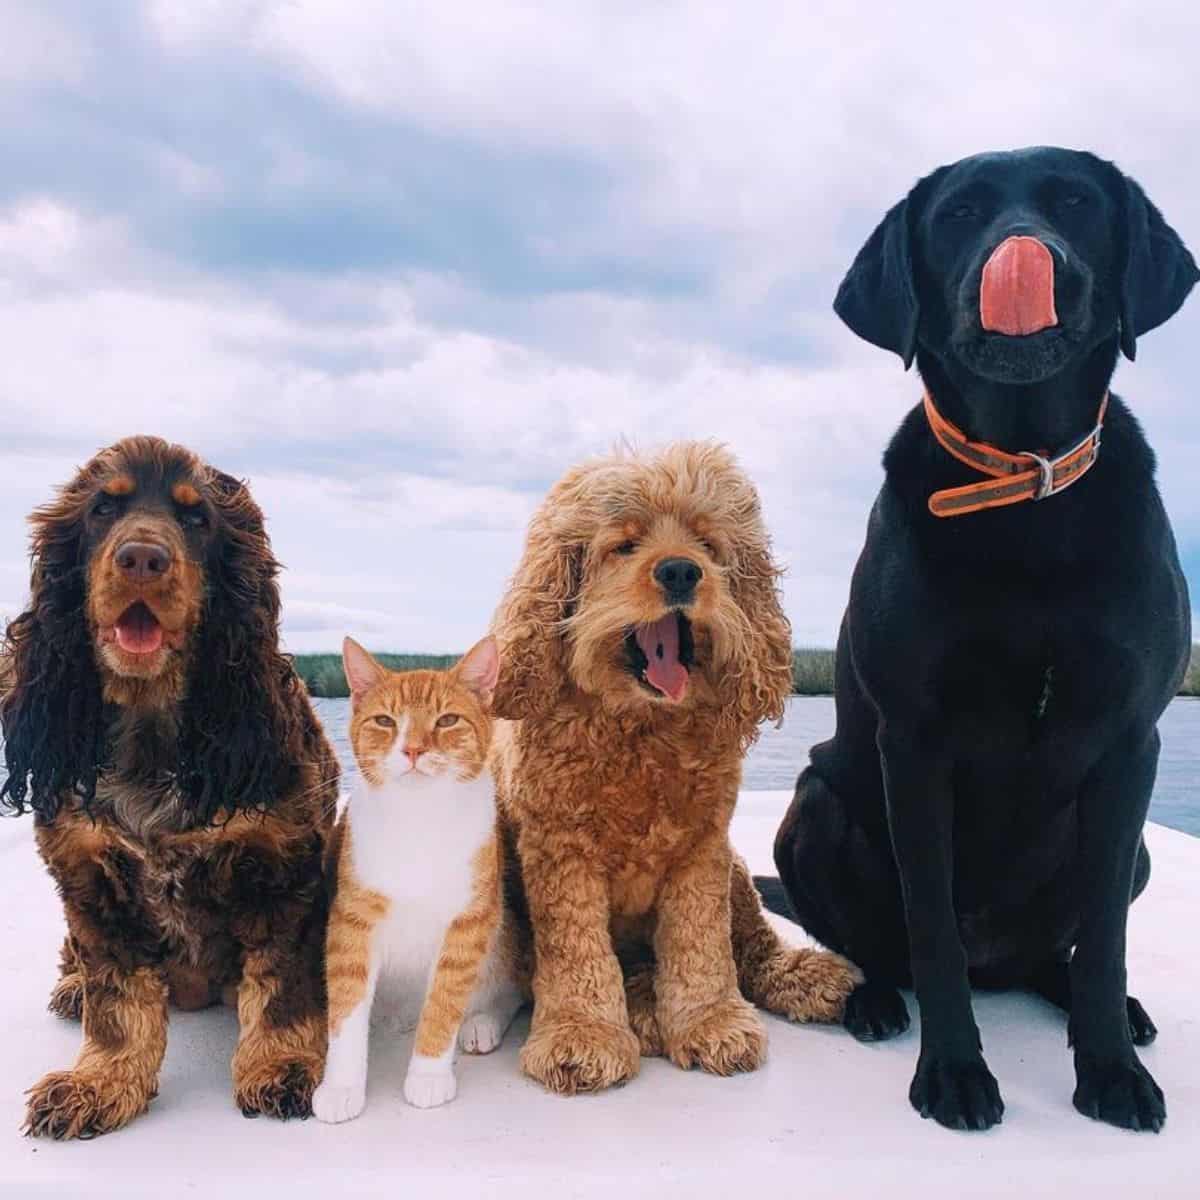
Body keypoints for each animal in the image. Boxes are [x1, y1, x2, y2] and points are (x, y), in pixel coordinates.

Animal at [1, 436, 338, 1137]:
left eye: (197, 518)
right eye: (103, 509)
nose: (142, 557)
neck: (151, 732)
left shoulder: (284, 873)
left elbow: (281, 988)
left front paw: (282, 1068)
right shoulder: (93, 881)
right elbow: (116, 1002)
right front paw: (98, 1084)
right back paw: (70, 989)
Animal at [309, 643, 520, 1118]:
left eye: (447, 720)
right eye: (385, 721)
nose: (412, 750)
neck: (419, 817)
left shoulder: (468, 922)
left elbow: (444, 1000)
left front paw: (427, 1076)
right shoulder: (353, 918)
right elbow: (346, 1005)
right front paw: (341, 1086)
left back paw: (481, 1022)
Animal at [489, 444, 864, 1099]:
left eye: (708, 544)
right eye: (624, 545)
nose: (682, 572)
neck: (641, 726)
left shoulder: (701, 849)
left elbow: (702, 946)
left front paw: (710, 1023)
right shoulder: (560, 854)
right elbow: (576, 953)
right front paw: (582, 1036)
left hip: (737, 871)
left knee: (753, 946)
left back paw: (802, 976)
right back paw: (642, 1011)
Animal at [763, 145, 1195, 1128]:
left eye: (1077, 204)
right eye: (959, 214)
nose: (1031, 258)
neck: (1024, 493)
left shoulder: (1133, 744)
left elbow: (1105, 936)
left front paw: (1111, 1070)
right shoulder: (915, 743)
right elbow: (931, 929)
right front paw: (955, 1072)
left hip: (1142, 849)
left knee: (1060, 956)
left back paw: (1105, 1009)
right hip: (816, 802)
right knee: (882, 946)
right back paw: (872, 1000)